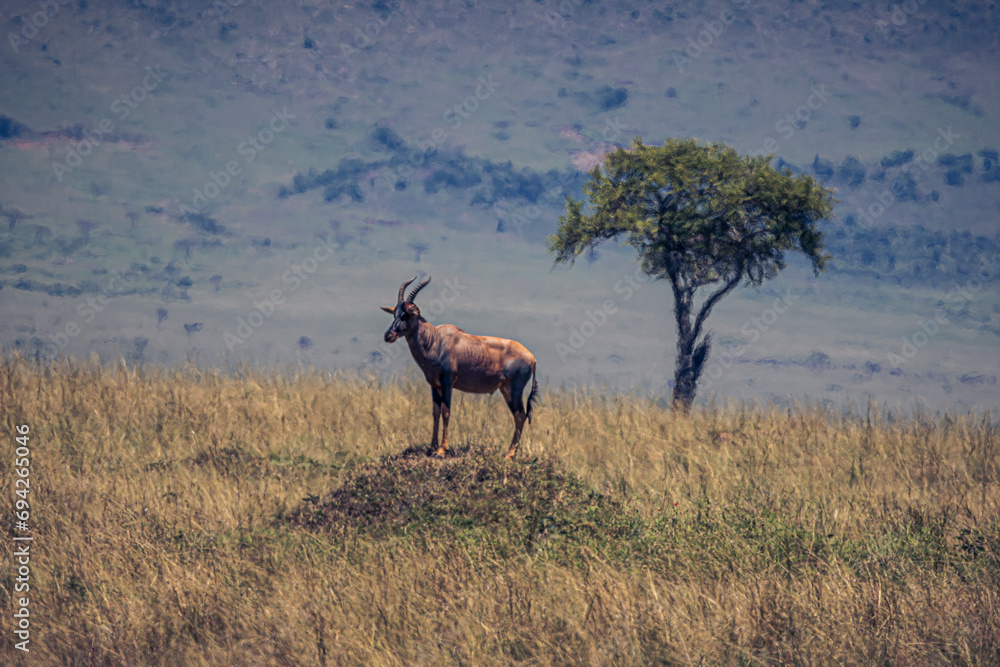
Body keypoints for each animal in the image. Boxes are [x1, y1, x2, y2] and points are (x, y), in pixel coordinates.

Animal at [381, 275, 538, 459]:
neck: (436, 339)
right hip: (505, 389)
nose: (388, 336)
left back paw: (509, 455)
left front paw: (442, 450)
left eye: (407, 314)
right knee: (520, 416)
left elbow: (446, 411)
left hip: (514, 389)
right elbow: (435, 412)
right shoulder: (435, 385)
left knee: (520, 415)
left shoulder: (448, 382)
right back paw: (511, 453)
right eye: (395, 313)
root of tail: (532, 358)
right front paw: (431, 448)